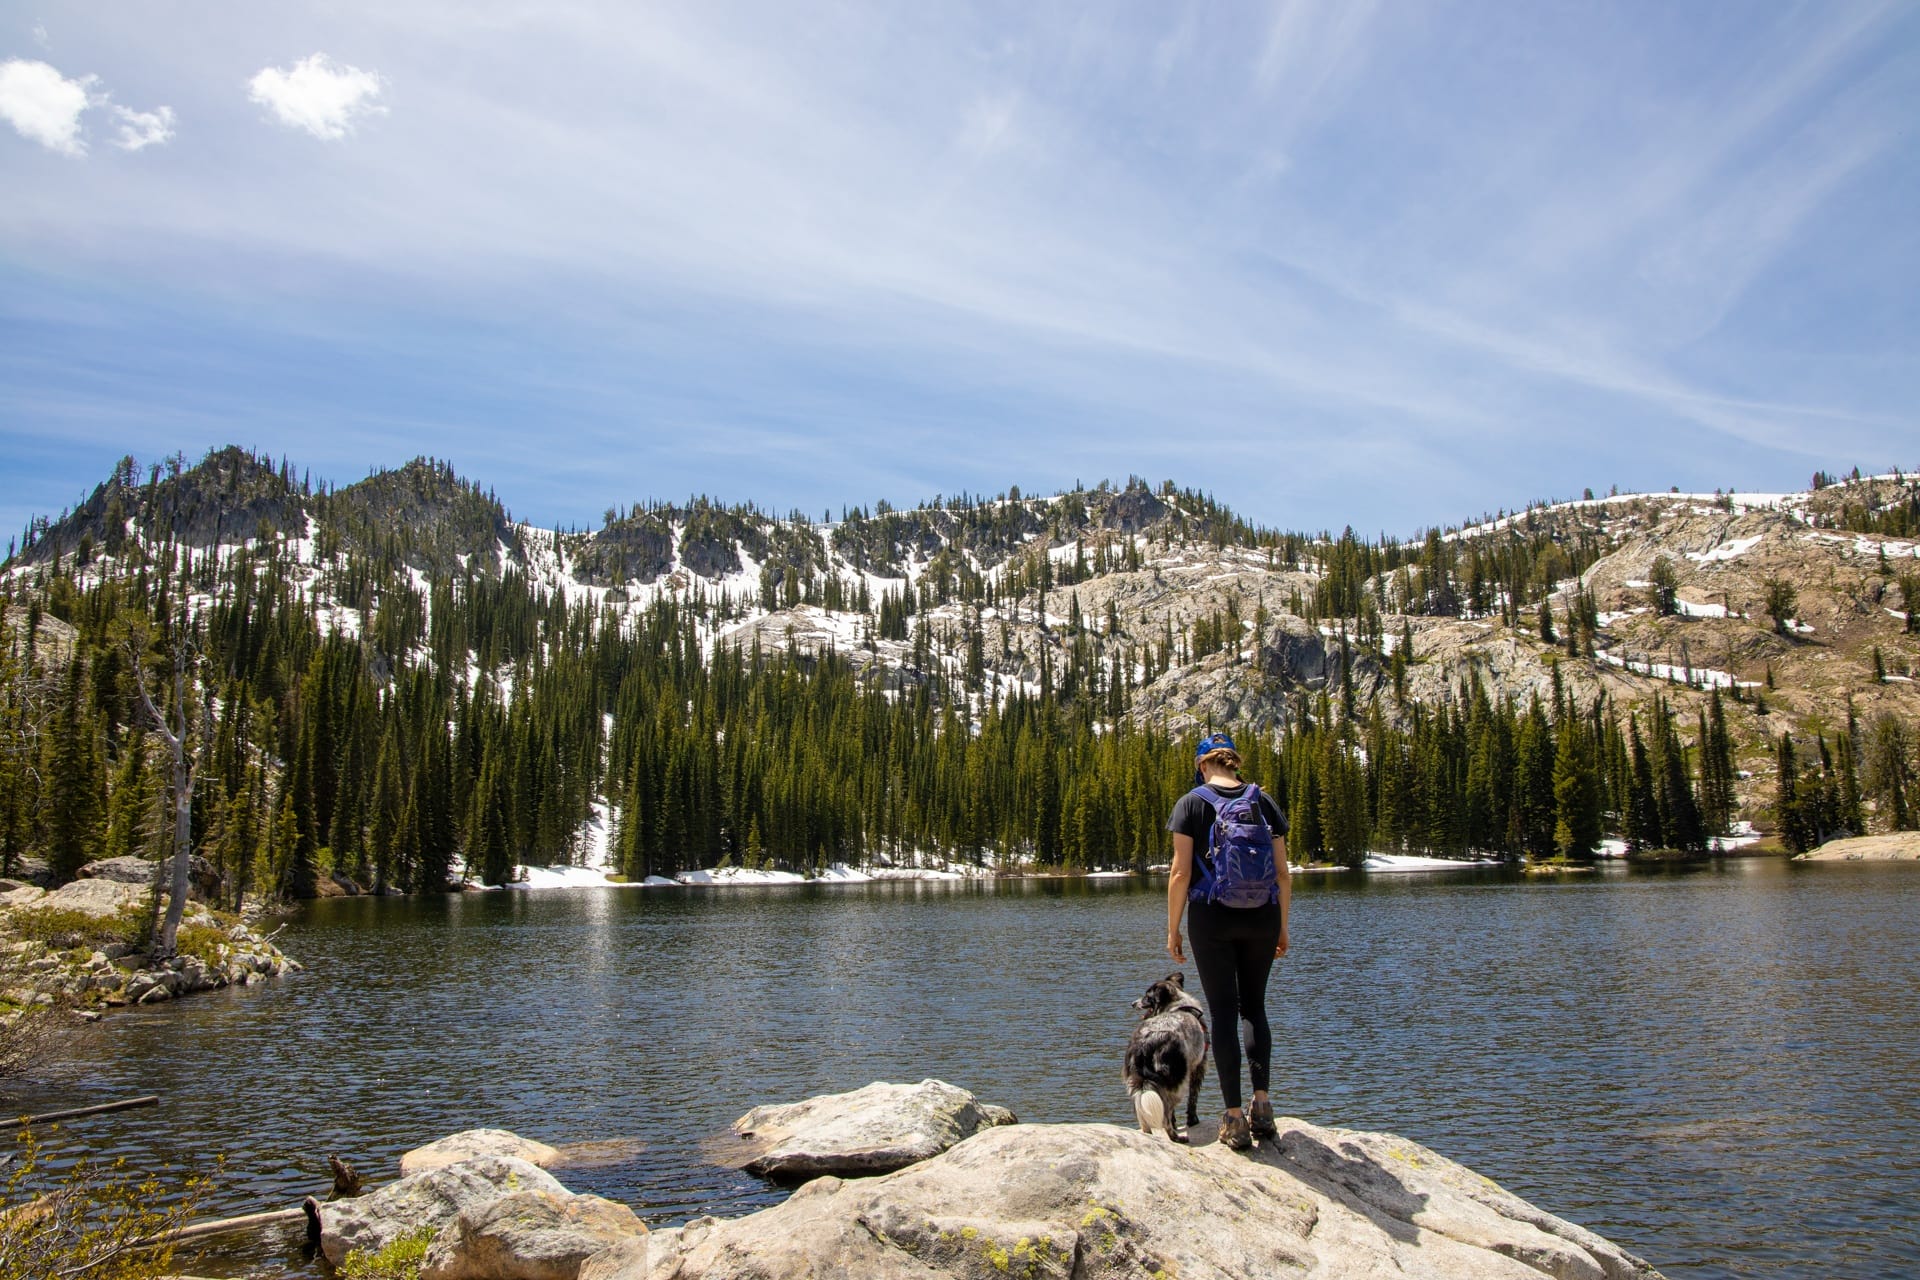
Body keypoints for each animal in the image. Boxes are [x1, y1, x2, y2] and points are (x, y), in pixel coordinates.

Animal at [1121, 974, 1198, 1143]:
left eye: (1147, 997)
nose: (1132, 1003)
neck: (1177, 1005)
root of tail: (1144, 1043)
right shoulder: (1199, 1064)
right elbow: (1193, 1098)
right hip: (1176, 1080)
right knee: (1166, 1112)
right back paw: (1176, 1137)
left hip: (1135, 1079)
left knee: (1140, 1107)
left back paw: (1148, 1132)